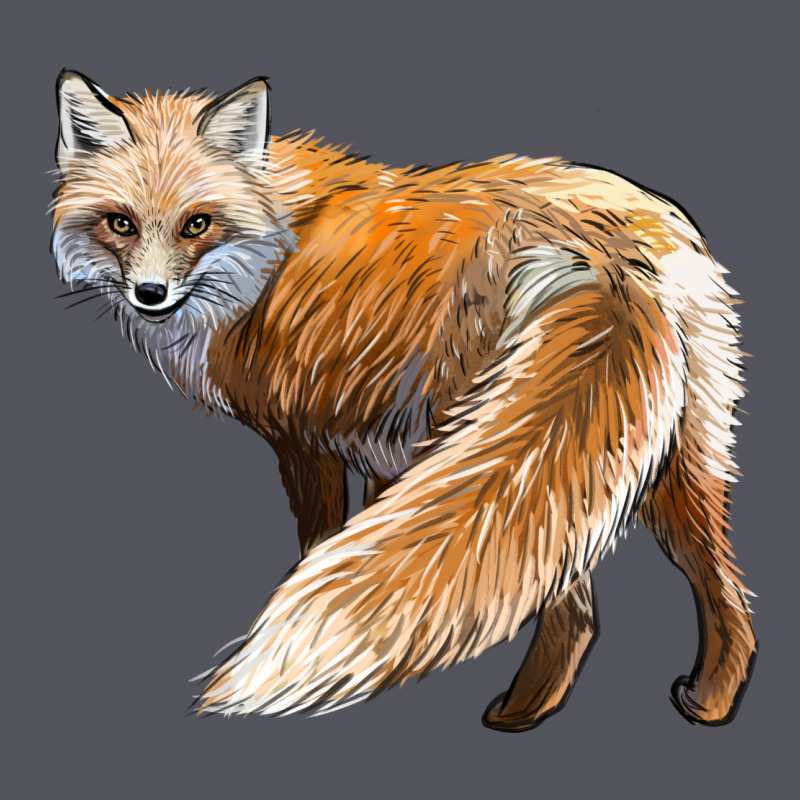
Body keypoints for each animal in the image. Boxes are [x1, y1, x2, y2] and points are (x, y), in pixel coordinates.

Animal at [52, 69, 757, 731]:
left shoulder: (303, 439)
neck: (272, 246)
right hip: (666, 456)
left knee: (572, 605)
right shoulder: (381, 446)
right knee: (717, 589)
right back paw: (708, 701)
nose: (150, 294)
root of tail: (603, 253)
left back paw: (517, 714)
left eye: (196, 223)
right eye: (121, 223)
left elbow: (321, 546)